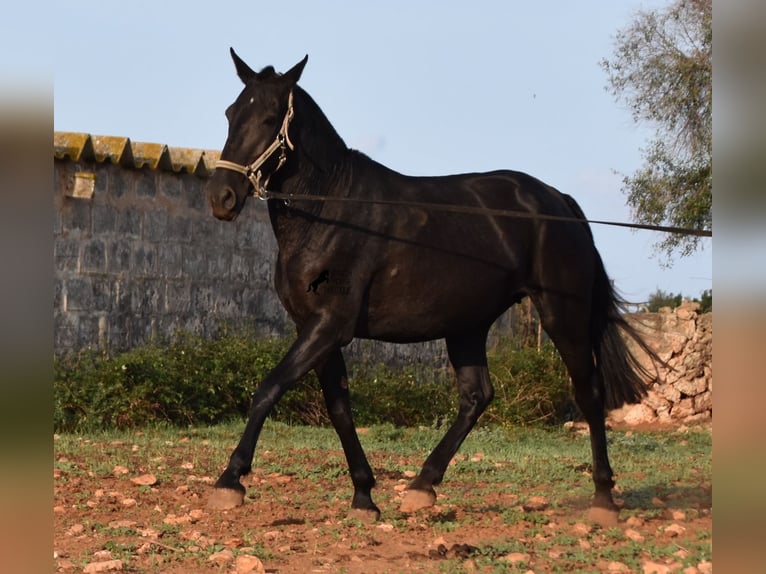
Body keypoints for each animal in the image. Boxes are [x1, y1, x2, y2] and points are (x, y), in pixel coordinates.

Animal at [206, 49, 660, 528]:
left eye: (270, 117)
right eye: (231, 113)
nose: (221, 197)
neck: (330, 211)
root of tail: (560, 202)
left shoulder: (329, 326)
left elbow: (269, 387)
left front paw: (230, 482)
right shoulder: (314, 328)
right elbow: (339, 408)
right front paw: (364, 495)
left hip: (561, 315)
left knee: (589, 393)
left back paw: (603, 498)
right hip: (467, 325)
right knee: (477, 396)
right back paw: (422, 486)